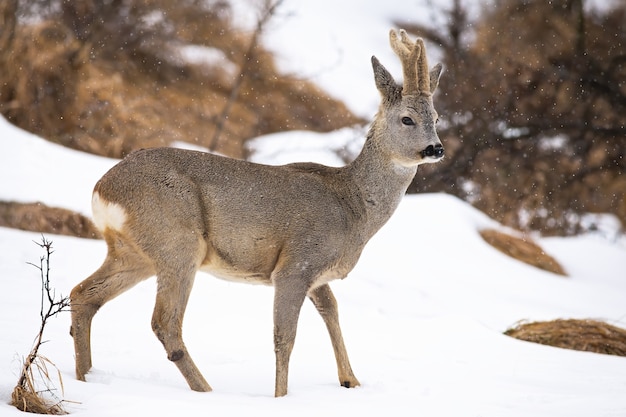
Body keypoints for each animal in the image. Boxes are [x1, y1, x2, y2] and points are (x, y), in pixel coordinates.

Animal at [70, 29, 444, 396]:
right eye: (407, 118)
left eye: (437, 118)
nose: (436, 148)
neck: (352, 206)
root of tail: (103, 189)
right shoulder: (297, 263)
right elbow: (285, 337)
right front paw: (281, 398)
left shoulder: (317, 276)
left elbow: (332, 312)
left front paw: (350, 380)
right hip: (178, 243)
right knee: (165, 322)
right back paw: (205, 389)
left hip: (134, 253)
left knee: (84, 295)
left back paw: (87, 377)